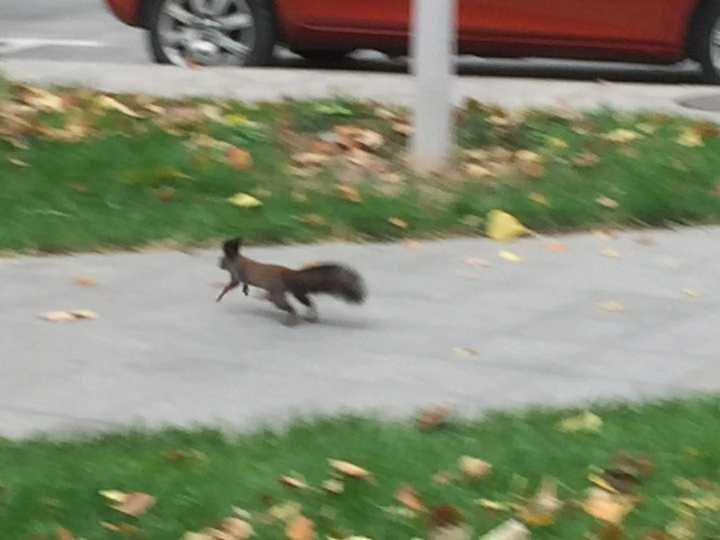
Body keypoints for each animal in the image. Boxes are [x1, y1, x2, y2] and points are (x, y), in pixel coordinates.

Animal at [215, 237, 366, 324]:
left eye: (222, 259)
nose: (218, 264)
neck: (236, 259)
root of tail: (290, 274)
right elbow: (241, 285)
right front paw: (244, 290)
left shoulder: (236, 273)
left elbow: (231, 285)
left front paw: (219, 296)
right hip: (297, 292)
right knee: (308, 302)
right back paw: (311, 317)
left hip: (279, 293)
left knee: (290, 307)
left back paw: (292, 320)